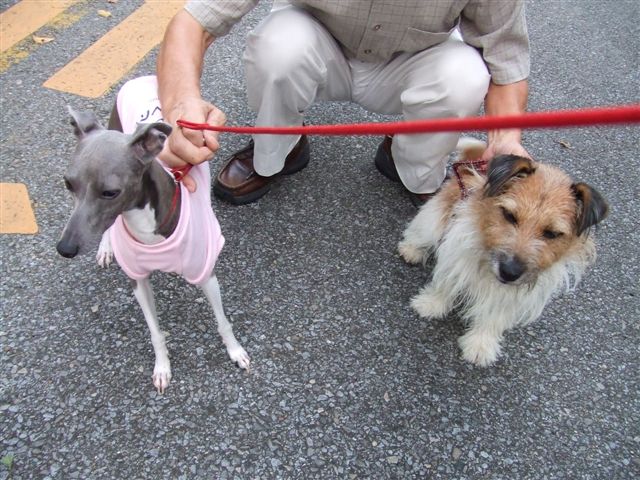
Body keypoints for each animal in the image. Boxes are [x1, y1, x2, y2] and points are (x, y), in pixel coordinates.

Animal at [56, 76, 250, 392]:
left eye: (110, 192)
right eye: (68, 184)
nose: (65, 248)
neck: (149, 233)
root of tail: (140, 78)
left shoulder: (206, 275)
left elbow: (223, 321)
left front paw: (235, 352)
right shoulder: (138, 281)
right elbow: (155, 331)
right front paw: (162, 368)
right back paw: (106, 248)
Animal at [398, 138, 608, 366]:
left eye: (552, 233)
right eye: (509, 215)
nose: (509, 272)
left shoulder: (515, 294)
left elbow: (495, 315)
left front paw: (481, 344)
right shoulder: (456, 254)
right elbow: (447, 283)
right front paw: (431, 305)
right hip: (434, 219)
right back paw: (411, 249)